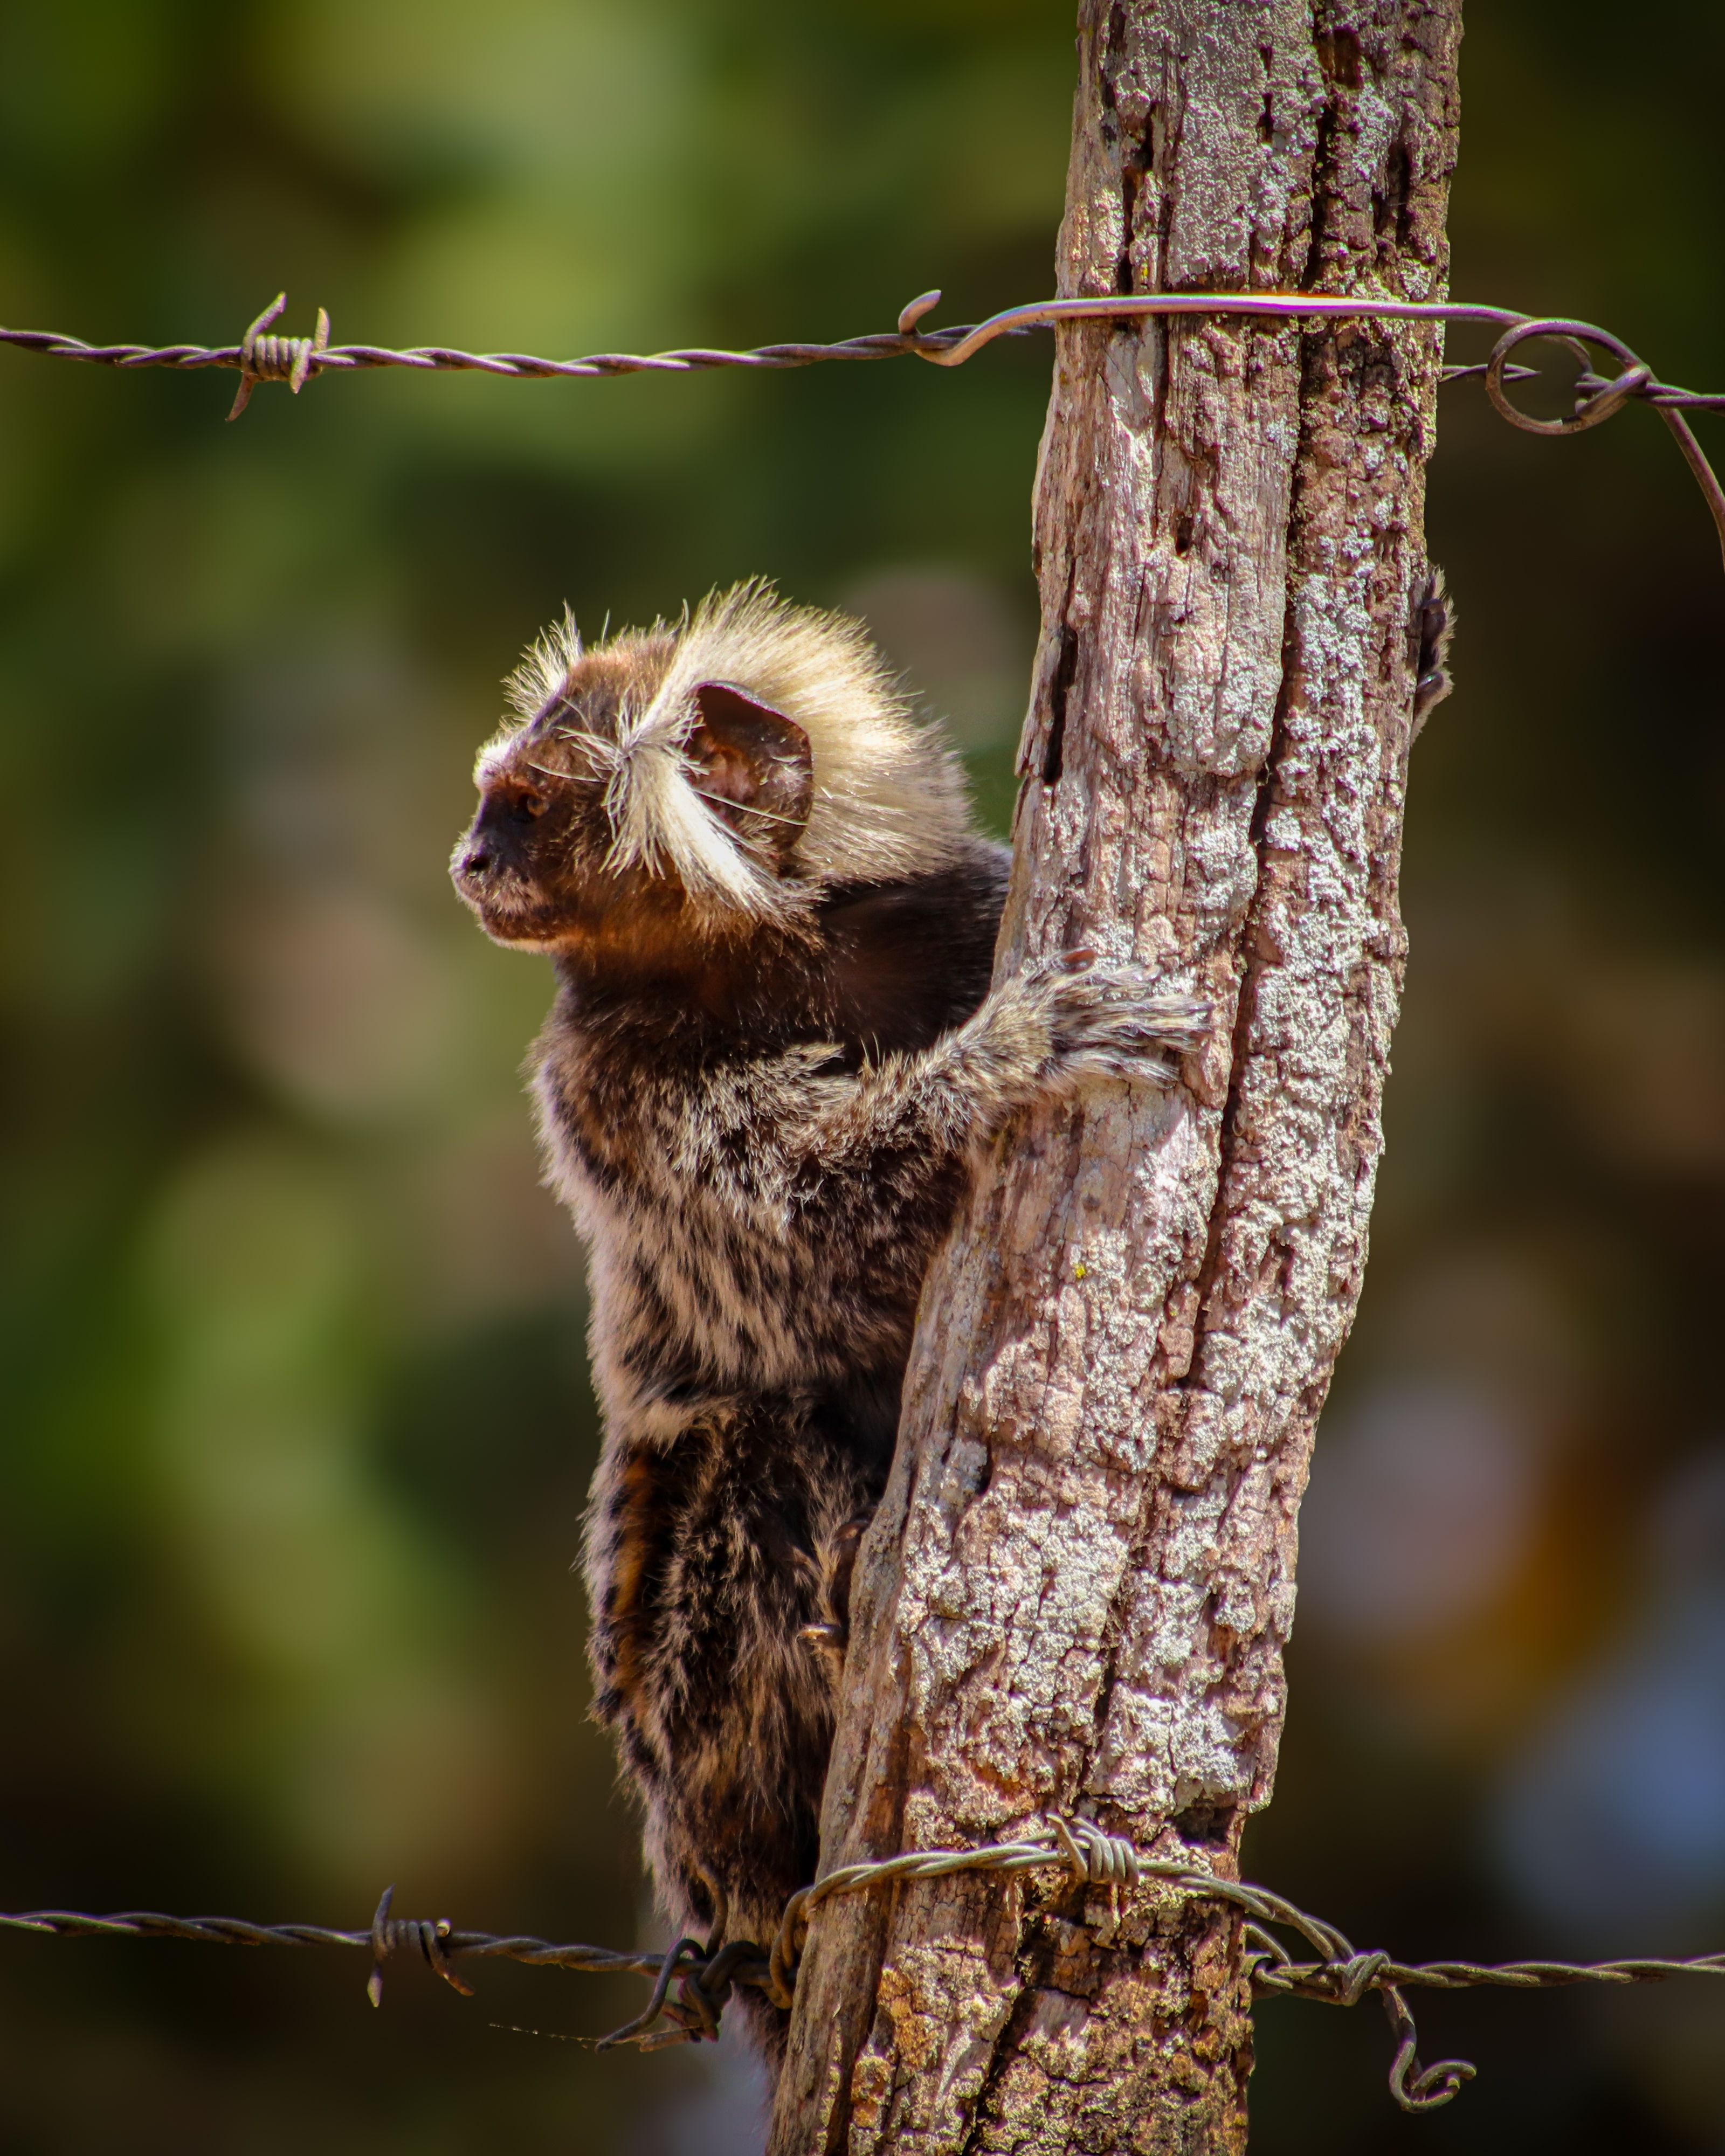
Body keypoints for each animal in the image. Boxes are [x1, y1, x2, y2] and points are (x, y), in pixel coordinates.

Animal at [449, 581, 1209, 2065]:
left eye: (525, 805)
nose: (466, 858)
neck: (775, 960)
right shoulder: (607, 1078)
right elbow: (817, 1244)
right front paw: (1008, 1060)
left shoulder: (954, 908)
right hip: (678, 1751)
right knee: (741, 1445)